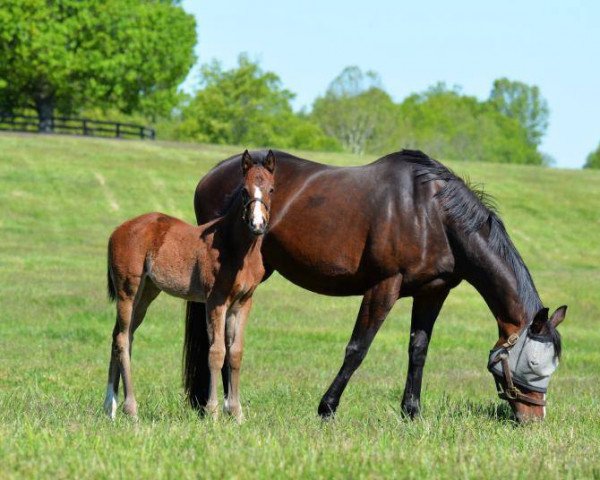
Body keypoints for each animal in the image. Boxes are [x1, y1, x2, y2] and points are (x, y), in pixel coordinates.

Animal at [104, 149, 276, 420]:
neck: (236, 247)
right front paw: (213, 412)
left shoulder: (243, 302)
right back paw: (130, 409)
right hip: (127, 291)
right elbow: (216, 352)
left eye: (271, 189)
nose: (257, 224)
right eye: (244, 191)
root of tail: (117, 230)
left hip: (146, 292)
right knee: (122, 339)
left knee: (122, 336)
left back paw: (109, 406)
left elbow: (235, 352)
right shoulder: (216, 301)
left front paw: (237, 414)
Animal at [184, 149, 568, 420]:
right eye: (534, 364)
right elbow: (358, 348)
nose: (535, 419)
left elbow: (418, 349)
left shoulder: (433, 291)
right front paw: (327, 408)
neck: (432, 214)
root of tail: (208, 176)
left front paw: (412, 413)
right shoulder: (384, 285)